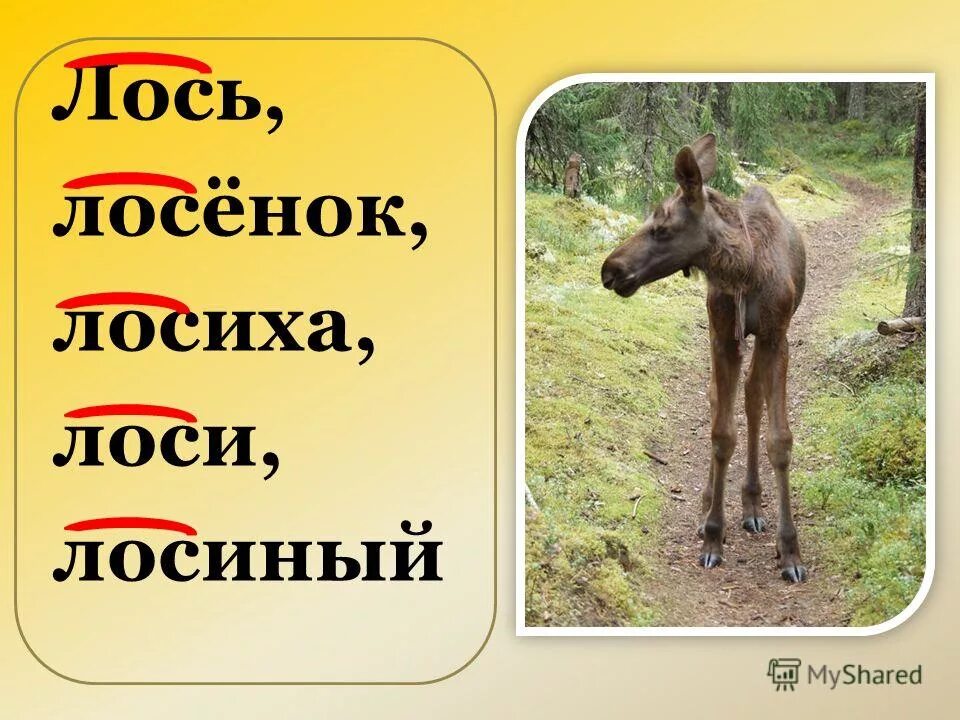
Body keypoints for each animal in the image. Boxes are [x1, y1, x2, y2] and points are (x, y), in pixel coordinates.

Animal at [600, 133, 808, 582]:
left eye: (661, 228)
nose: (609, 270)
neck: (745, 269)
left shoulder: (776, 335)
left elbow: (779, 438)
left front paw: (790, 550)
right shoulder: (723, 337)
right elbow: (721, 433)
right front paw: (713, 534)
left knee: (751, 398)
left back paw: (752, 503)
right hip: (721, 335)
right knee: (719, 401)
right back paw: (712, 505)